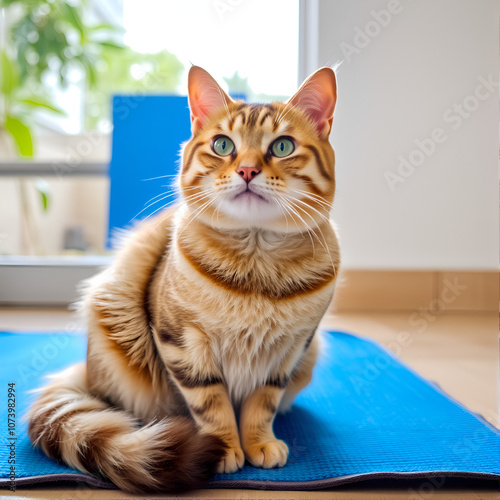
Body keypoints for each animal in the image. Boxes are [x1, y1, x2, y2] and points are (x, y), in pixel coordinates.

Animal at [26, 65, 340, 492]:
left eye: (282, 147)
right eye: (223, 145)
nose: (247, 170)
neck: (256, 269)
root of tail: (87, 373)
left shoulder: (290, 351)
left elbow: (262, 404)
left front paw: (259, 442)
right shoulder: (183, 342)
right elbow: (211, 403)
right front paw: (224, 447)